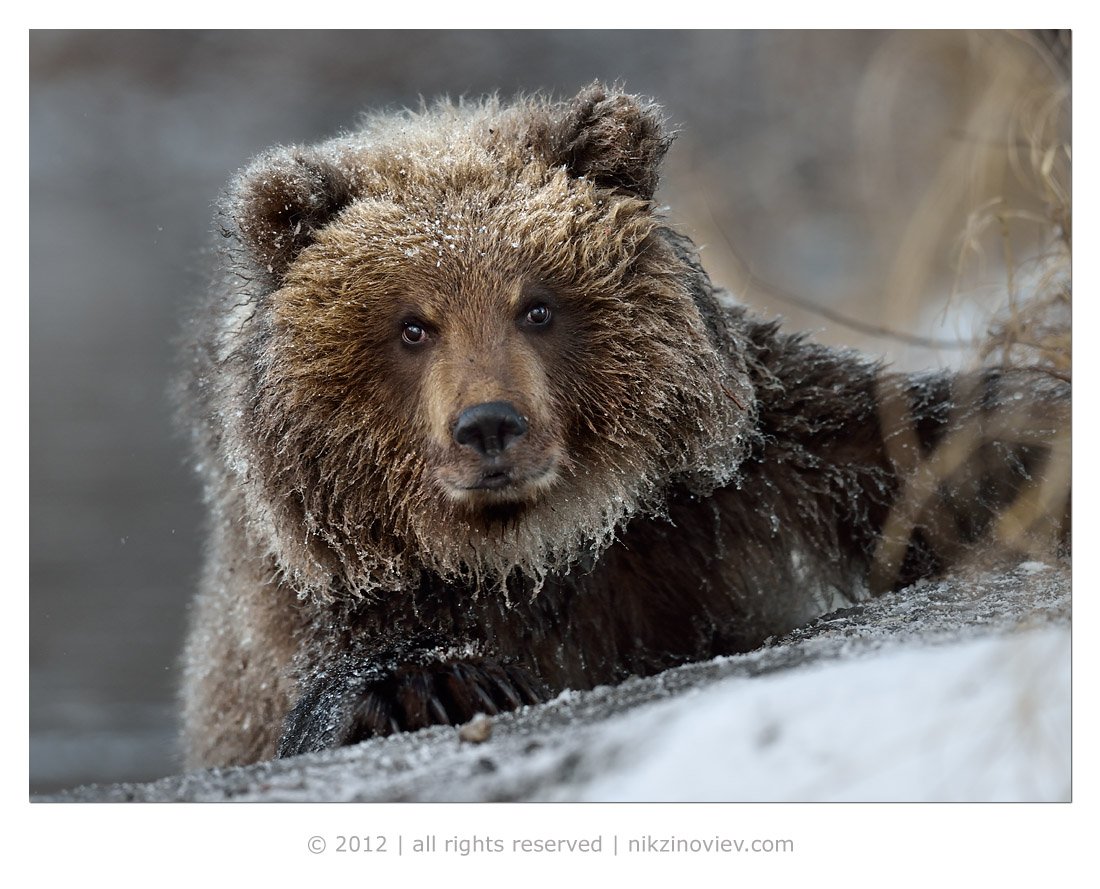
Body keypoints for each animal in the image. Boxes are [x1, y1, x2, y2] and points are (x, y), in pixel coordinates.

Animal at [180, 81, 1064, 765]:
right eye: (413, 326)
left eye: (536, 306)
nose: (490, 424)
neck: (530, 547)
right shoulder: (306, 595)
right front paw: (433, 681)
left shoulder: (744, 481)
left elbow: (907, 453)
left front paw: (1038, 445)